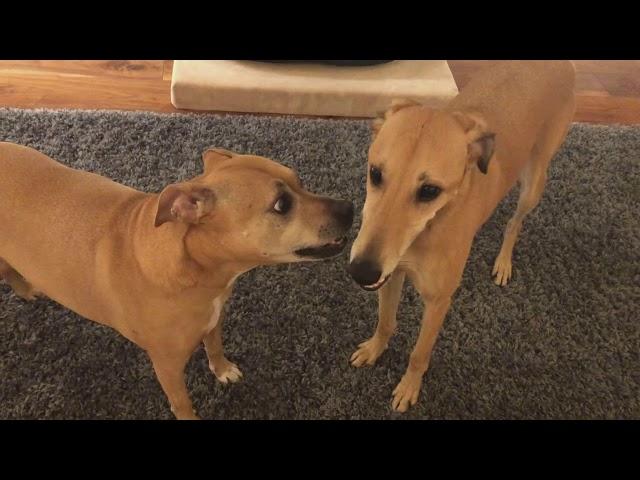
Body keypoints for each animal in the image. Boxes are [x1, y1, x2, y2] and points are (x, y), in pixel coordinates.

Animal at [0, 144, 352, 418]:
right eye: (282, 204)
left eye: (299, 180)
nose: (350, 207)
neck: (199, 271)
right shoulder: (167, 367)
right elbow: (182, 403)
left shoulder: (214, 319)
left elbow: (215, 346)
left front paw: (222, 369)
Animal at [348, 60, 576, 412]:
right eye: (375, 173)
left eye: (430, 191)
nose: (361, 272)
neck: (427, 231)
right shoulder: (392, 275)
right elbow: (385, 322)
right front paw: (374, 349)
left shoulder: (438, 301)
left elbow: (419, 353)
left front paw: (409, 387)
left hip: (534, 182)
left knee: (515, 223)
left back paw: (503, 262)